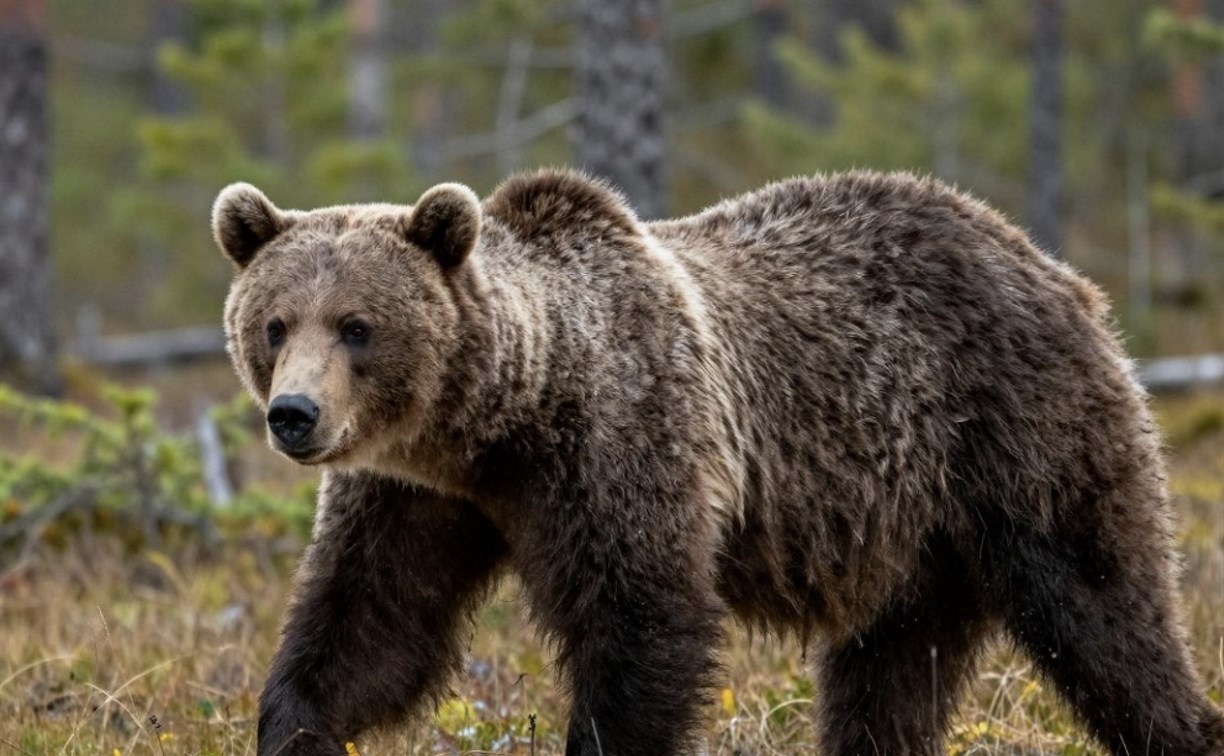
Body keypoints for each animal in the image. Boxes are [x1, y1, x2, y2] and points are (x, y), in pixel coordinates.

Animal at [212, 169, 1224, 756]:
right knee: (889, 676)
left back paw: (1182, 724)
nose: (294, 416)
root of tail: (1051, 265)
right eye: (275, 324)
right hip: (917, 539)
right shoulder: (415, 496)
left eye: (357, 326)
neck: (499, 428)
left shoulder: (623, 442)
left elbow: (644, 621)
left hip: (1023, 429)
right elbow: (369, 626)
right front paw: (294, 728)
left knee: (1104, 610)